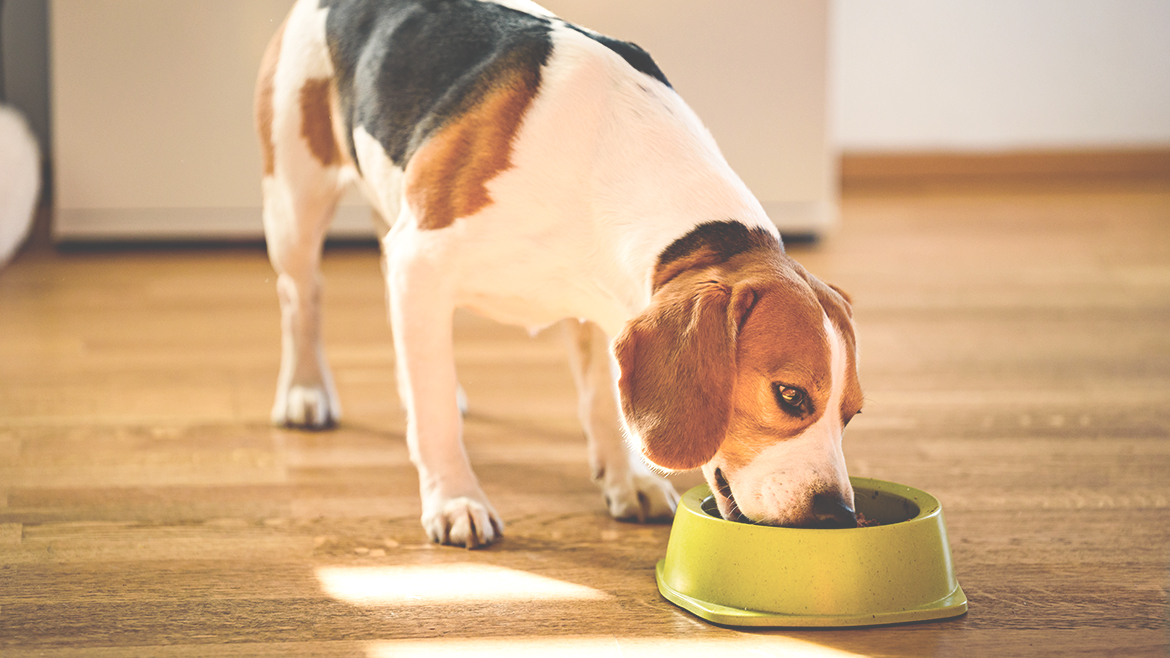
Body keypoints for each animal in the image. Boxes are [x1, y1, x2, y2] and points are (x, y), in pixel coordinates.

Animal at [253, 0, 861, 545]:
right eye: (789, 396)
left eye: (852, 414)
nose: (838, 515)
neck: (609, 160)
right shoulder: (420, 261)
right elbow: (435, 418)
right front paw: (455, 498)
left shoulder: (603, 306)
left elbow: (601, 400)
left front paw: (625, 479)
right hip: (295, 208)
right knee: (301, 297)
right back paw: (305, 391)